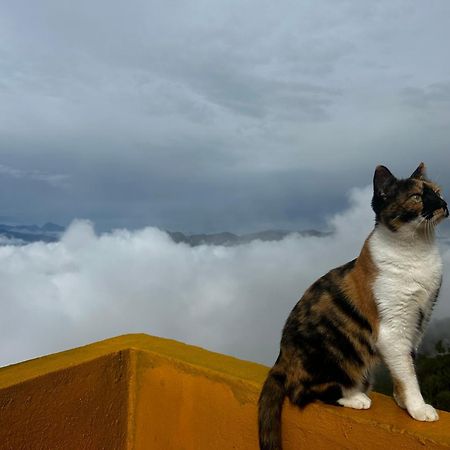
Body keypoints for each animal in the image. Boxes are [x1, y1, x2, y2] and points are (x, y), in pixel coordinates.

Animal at [258, 164, 448, 450]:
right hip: (333, 354)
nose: (444, 204)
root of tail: (280, 360)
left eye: (438, 192)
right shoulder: (392, 328)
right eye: (416, 197)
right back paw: (355, 397)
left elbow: (406, 366)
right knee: (302, 392)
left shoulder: (418, 322)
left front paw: (402, 400)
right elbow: (407, 374)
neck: (416, 251)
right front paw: (418, 407)